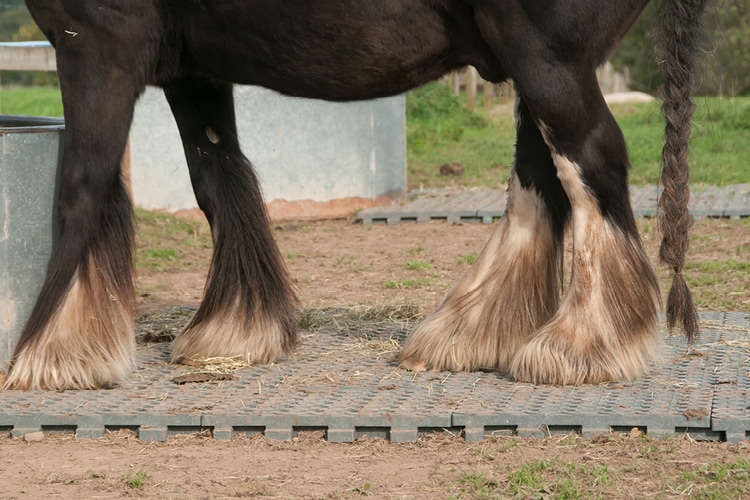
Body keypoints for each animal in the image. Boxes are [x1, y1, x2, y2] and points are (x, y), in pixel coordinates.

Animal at [5, 0, 707, 390]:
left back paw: (583, 345)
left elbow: (82, 187)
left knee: (590, 164)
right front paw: (235, 326)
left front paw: (49, 354)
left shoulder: (99, 44)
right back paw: (471, 332)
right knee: (543, 178)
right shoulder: (190, 68)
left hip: (548, 60)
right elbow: (217, 179)